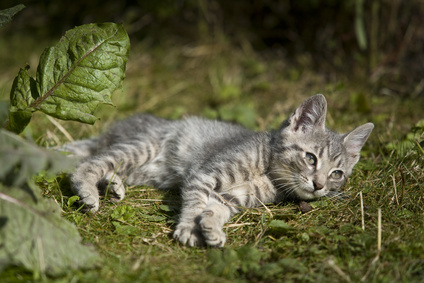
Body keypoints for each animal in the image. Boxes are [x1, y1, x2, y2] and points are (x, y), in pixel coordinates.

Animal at [63, 94, 374, 247]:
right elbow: (194, 203)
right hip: (141, 148)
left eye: (337, 174)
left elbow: (216, 209)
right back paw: (89, 191)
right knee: (89, 163)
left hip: (140, 168)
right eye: (311, 158)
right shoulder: (205, 175)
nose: (319, 186)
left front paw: (210, 227)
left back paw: (113, 186)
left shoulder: (231, 197)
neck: (268, 173)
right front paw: (189, 228)